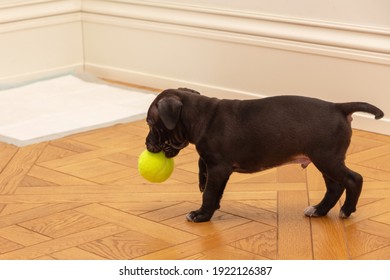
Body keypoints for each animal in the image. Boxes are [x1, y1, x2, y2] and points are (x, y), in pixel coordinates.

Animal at [145, 88, 384, 222]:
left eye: (150, 122)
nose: (147, 145)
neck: (202, 115)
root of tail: (338, 107)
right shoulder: (215, 166)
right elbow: (210, 183)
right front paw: (208, 199)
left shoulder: (218, 167)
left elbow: (210, 193)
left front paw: (202, 215)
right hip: (325, 160)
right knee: (335, 187)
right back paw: (319, 210)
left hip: (327, 158)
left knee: (353, 179)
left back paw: (346, 210)